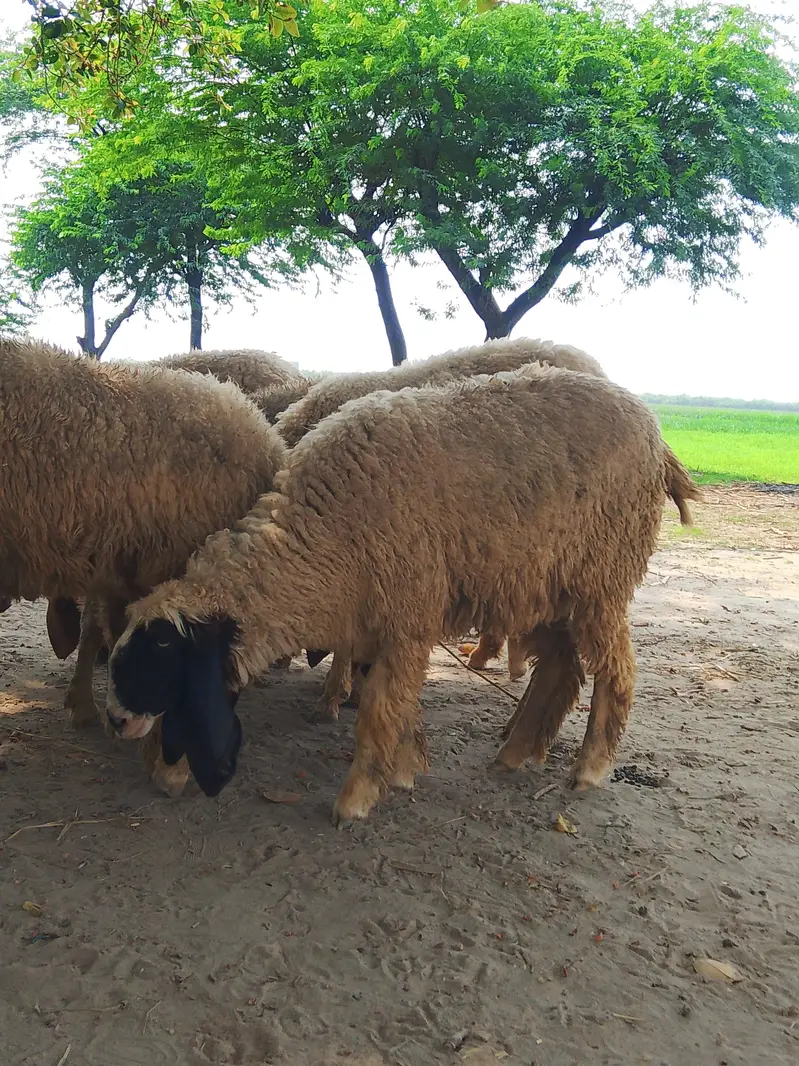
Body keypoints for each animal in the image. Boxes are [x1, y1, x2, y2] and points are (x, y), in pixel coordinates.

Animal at [106, 363, 698, 824]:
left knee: (616, 672)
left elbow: (379, 710)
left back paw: (590, 767)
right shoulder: (388, 624)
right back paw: (513, 753)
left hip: (603, 575)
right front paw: (405, 768)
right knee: (559, 669)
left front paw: (357, 798)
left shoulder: (409, 613)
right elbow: (399, 706)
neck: (322, 536)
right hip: (545, 585)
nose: (116, 722)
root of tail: (654, 431)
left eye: (162, 660)